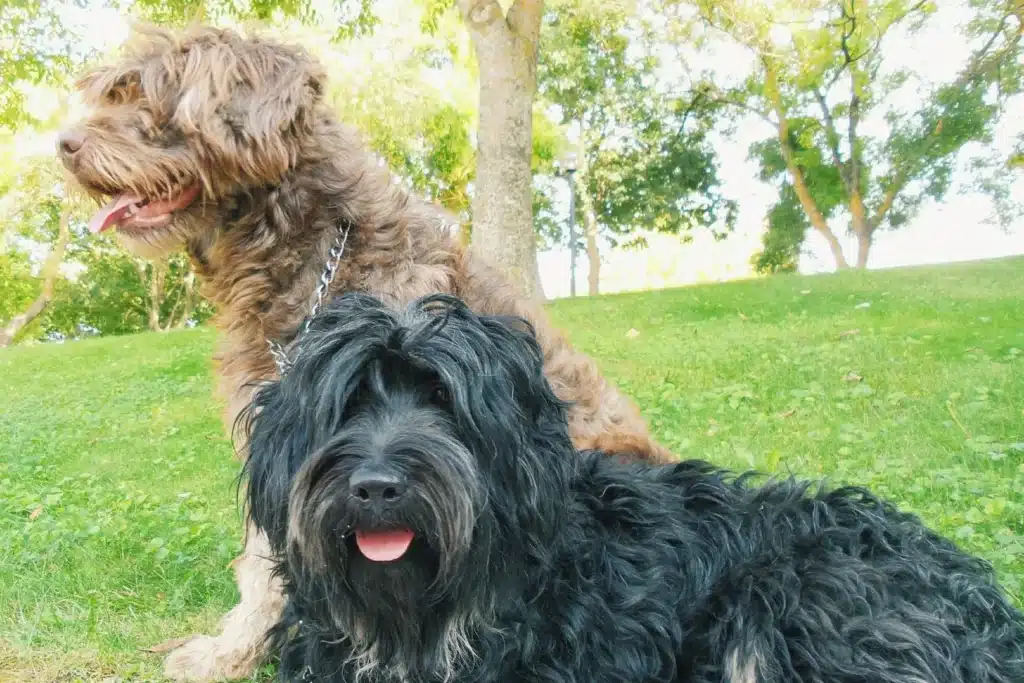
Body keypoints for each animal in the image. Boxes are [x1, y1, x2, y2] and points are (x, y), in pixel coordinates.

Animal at [59, 22, 675, 683]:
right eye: (114, 93)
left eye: (150, 97)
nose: (64, 144)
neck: (307, 256)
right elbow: (266, 559)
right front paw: (235, 649)